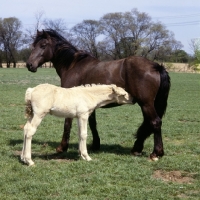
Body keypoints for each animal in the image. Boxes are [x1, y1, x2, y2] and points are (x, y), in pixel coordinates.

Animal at [26, 29, 170, 161]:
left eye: (43, 45)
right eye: (34, 45)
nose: (29, 65)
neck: (73, 65)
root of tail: (156, 66)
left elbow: (67, 124)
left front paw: (62, 147)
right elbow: (92, 124)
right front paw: (95, 145)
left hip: (146, 104)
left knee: (155, 122)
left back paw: (156, 153)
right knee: (148, 124)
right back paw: (137, 149)